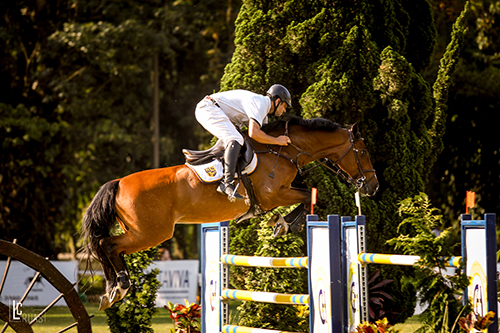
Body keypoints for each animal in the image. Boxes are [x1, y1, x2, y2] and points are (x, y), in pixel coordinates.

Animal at [82, 116, 378, 308]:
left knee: (108, 247)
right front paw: (285, 224)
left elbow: (308, 196)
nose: (372, 187)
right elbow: (308, 196)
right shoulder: (274, 195)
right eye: (363, 152)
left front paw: (282, 224)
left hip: (141, 231)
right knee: (107, 245)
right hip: (151, 233)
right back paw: (119, 286)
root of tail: (119, 183)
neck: (283, 149)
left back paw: (111, 290)